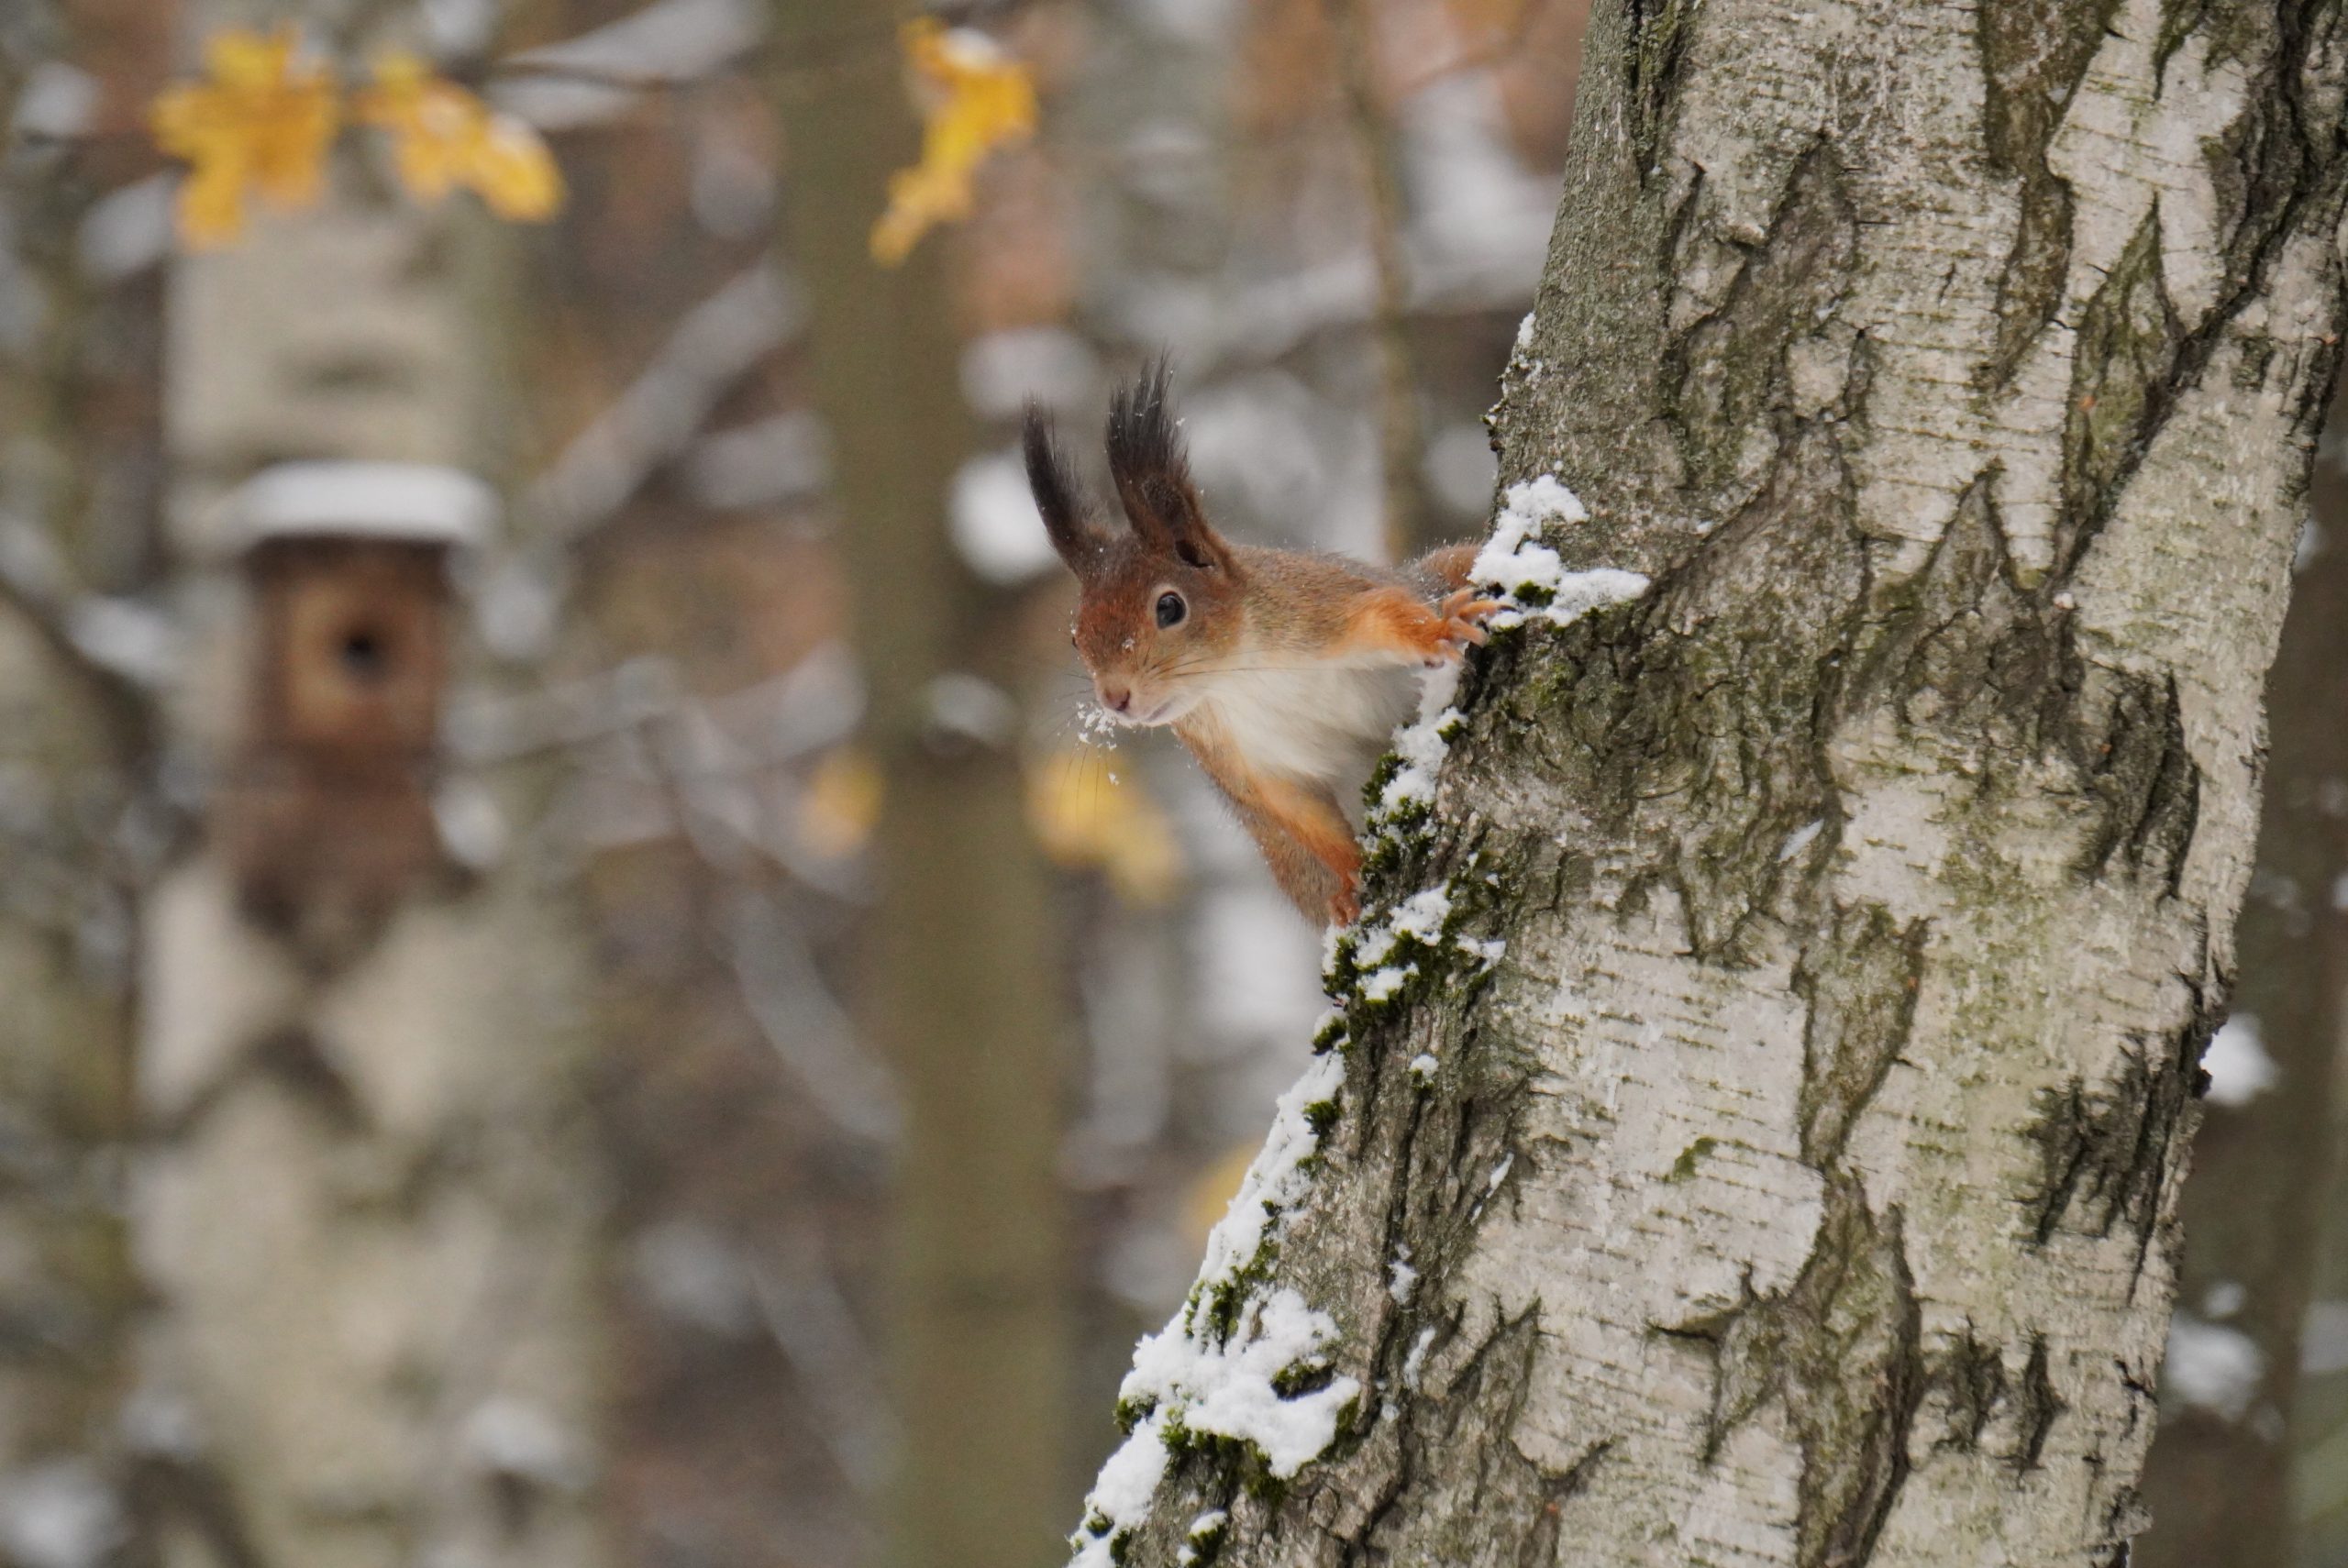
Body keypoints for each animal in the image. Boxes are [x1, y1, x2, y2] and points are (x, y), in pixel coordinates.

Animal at [1024, 363, 1493, 929]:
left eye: (1170, 608)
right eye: (1075, 636)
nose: (1115, 699)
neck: (1241, 676)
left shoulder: (1316, 609)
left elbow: (1383, 610)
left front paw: (1437, 630)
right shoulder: (1247, 759)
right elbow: (1304, 819)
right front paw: (1352, 883)